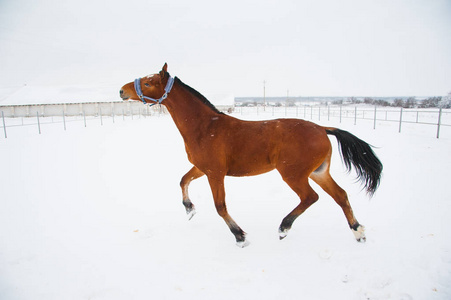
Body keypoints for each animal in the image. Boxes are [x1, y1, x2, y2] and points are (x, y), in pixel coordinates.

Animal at [119, 62, 382, 246]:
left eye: (149, 82)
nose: (121, 91)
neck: (205, 127)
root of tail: (322, 128)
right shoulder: (202, 169)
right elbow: (183, 180)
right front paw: (189, 209)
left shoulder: (215, 173)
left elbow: (220, 206)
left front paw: (240, 236)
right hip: (318, 172)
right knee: (341, 196)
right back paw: (358, 232)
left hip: (293, 174)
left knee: (311, 197)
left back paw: (284, 228)